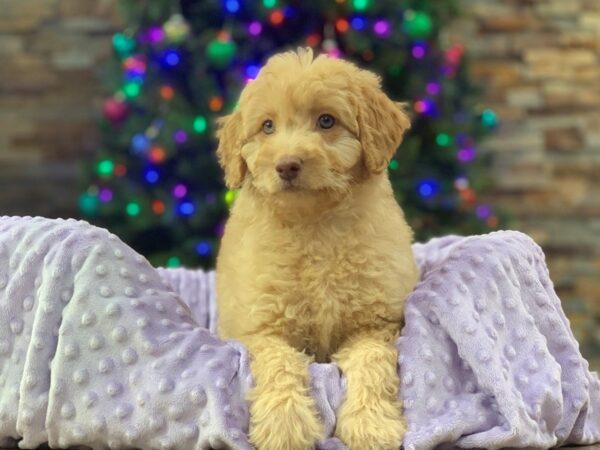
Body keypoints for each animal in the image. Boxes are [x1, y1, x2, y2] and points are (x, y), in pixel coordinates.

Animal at [214, 49, 418, 450]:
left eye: (326, 121)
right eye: (267, 127)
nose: (287, 165)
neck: (314, 226)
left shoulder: (375, 324)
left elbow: (372, 363)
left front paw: (372, 425)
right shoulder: (261, 328)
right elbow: (280, 363)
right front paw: (284, 426)